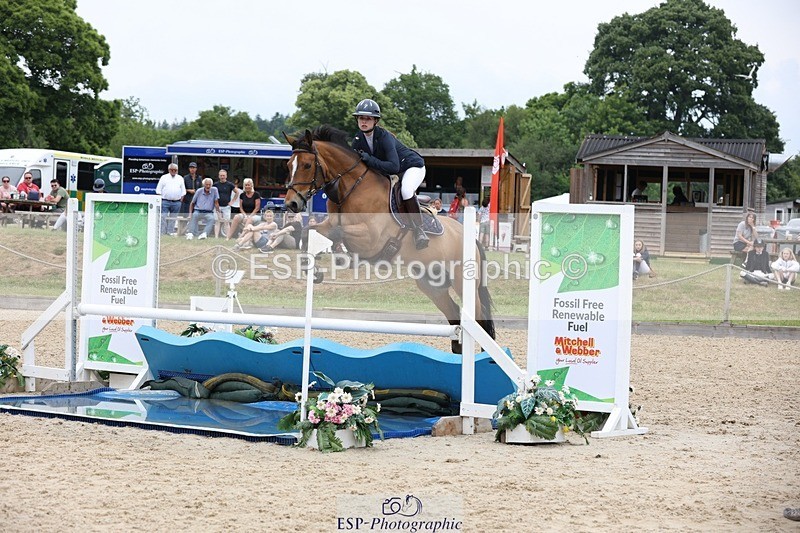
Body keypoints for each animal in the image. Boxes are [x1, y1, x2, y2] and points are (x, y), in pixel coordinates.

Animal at [282, 126, 495, 353]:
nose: (291, 204)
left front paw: (340, 257)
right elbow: (309, 232)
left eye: (307, 165)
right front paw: (312, 269)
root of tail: (468, 236)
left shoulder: (371, 237)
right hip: (432, 285)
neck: (350, 188)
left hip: (462, 282)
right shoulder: (329, 224)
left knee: (480, 320)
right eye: (288, 165)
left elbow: (339, 233)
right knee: (455, 317)